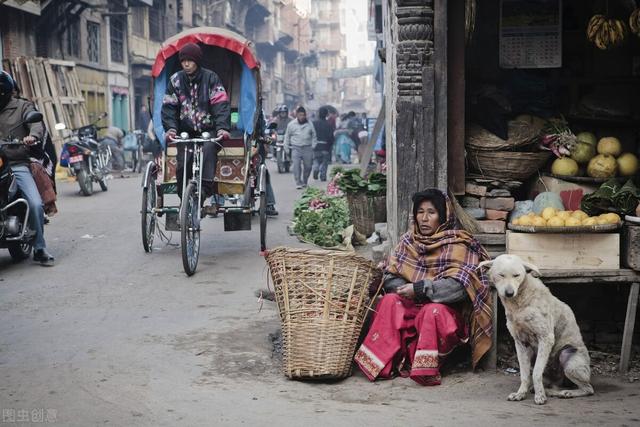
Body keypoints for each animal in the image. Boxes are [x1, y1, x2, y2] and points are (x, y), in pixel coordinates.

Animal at [478, 256, 592, 406]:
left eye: (517, 275)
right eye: (501, 275)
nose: (509, 293)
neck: (519, 303)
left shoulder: (546, 338)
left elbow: (536, 372)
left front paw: (540, 396)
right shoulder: (520, 343)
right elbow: (524, 374)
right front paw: (520, 393)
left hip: (569, 360)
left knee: (588, 389)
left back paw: (565, 393)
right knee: (556, 384)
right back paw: (550, 390)